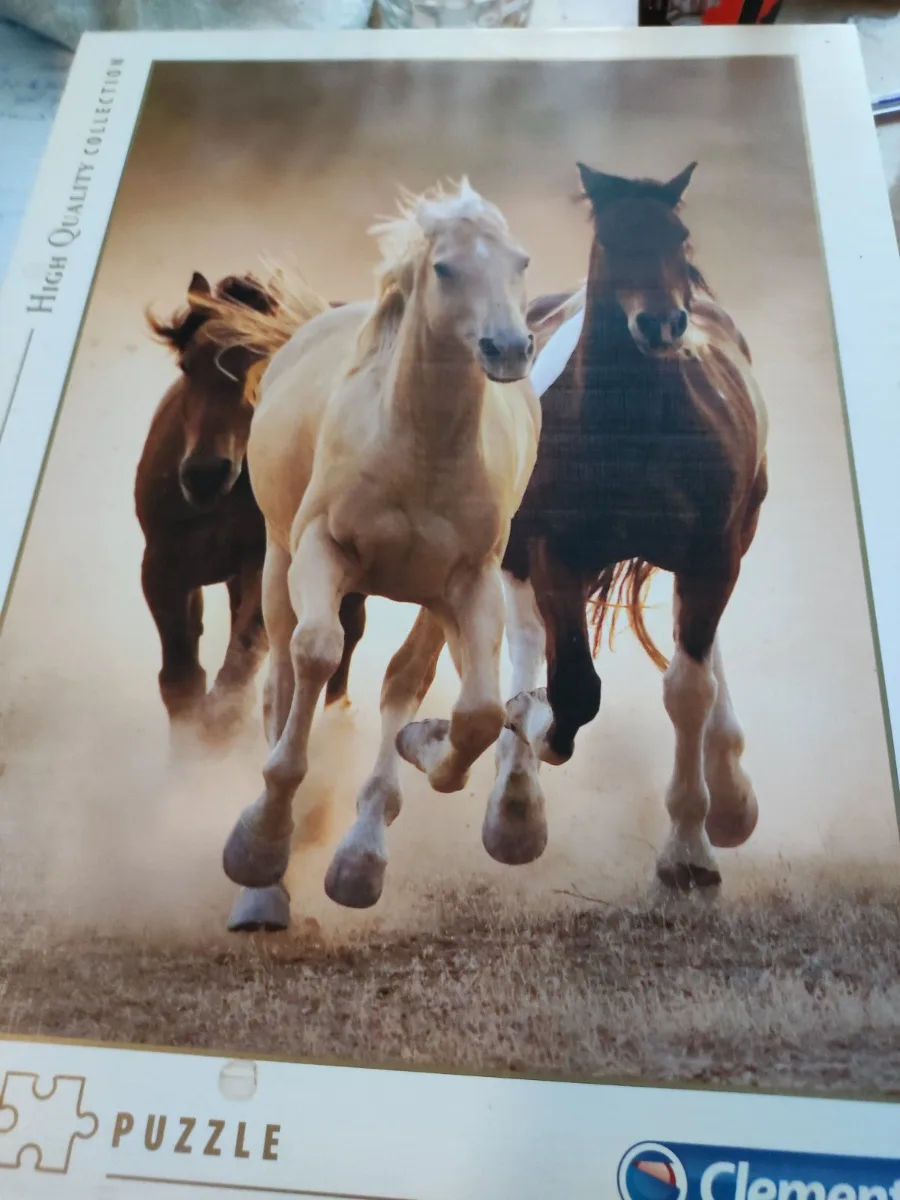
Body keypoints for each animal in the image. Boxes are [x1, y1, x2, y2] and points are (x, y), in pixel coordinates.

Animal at [136, 271, 366, 741]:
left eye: (264, 364)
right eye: (187, 365)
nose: (205, 473)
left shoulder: (262, 566)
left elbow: (238, 666)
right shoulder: (162, 567)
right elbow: (181, 680)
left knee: (349, 631)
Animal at [211, 180, 541, 934]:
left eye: (520, 262)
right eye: (445, 268)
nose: (510, 348)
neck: (418, 448)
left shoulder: (470, 582)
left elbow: (477, 712)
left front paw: (427, 747)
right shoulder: (321, 551)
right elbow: (316, 655)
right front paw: (257, 846)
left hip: (430, 602)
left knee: (407, 682)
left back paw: (364, 858)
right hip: (278, 564)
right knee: (282, 678)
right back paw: (265, 889)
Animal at [492, 160, 768, 896]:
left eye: (679, 237)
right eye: (613, 241)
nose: (661, 322)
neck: (632, 427)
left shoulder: (711, 555)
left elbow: (688, 688)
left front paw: (690, 851)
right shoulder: (551, 552)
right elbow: (572, 685)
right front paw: (539, 729)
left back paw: (731, 796)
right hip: (514, 550)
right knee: (525, 639)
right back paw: (514, 805)